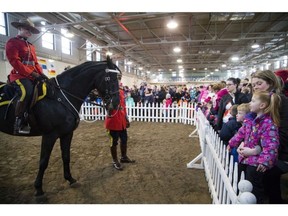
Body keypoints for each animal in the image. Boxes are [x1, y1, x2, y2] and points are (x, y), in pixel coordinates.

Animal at [0, 57, 120, 199]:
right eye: (110, 78)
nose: (116, 103)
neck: (61, 96)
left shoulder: (67, 134)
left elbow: (66, 156)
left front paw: (70, 179)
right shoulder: (49, 135)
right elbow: (43, 161)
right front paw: (39, 189)